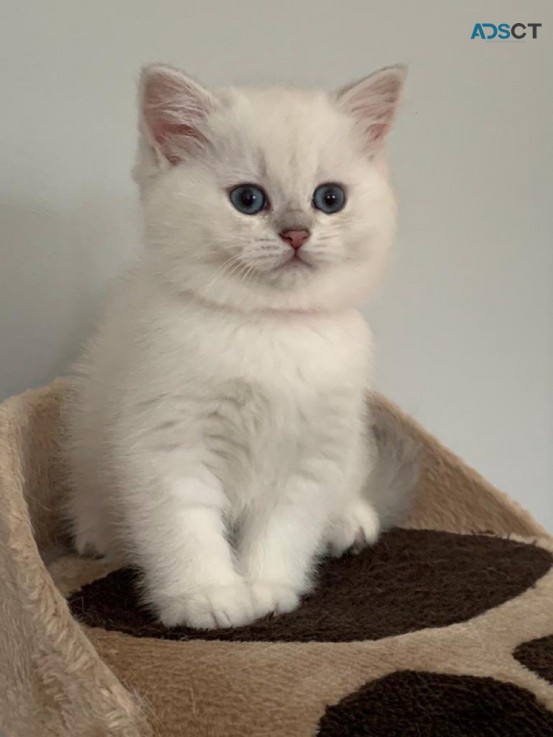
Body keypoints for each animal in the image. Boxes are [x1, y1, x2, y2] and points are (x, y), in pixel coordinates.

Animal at [62, 61, 412, 628]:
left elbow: (285, 528)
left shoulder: (312, 451)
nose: (296, 233)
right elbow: (184, 525)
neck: (270, 327)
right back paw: (98, 533)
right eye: (248, 199)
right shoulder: (169, 439)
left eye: (329, 198)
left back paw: (348, 520)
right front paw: (206, 596)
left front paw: (266, 588)